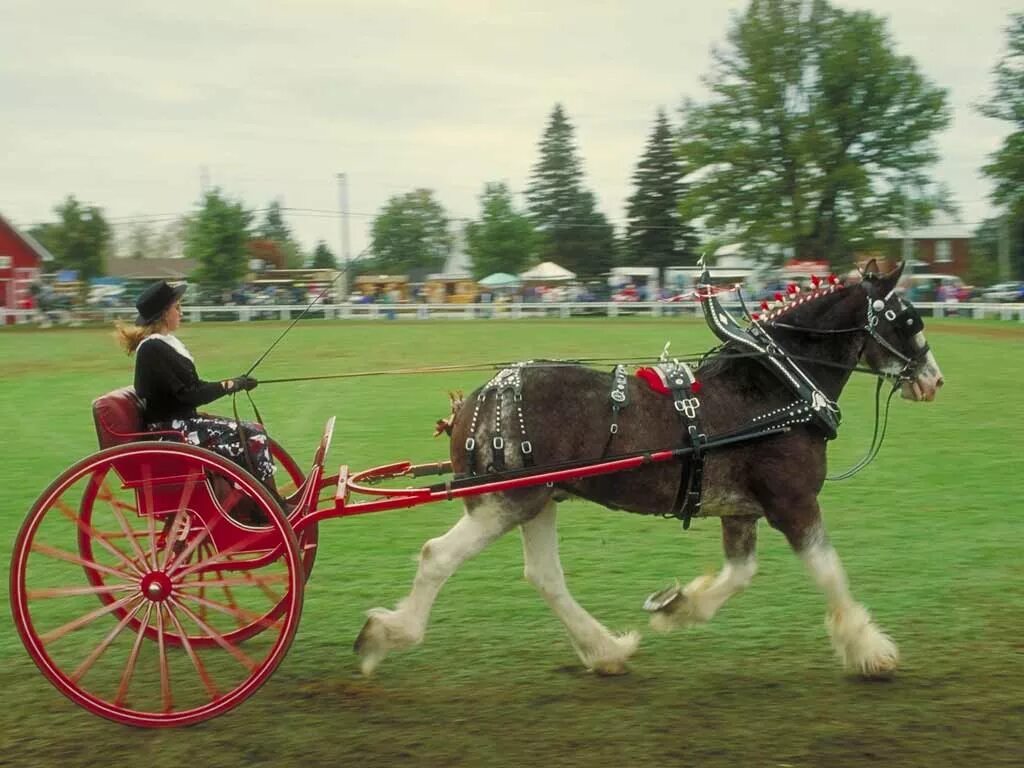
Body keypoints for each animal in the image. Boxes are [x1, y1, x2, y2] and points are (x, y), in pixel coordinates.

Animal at [354, 264, 942, 679]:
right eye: (908, 320)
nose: (934, 380)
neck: (777, 386)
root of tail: (477, 401)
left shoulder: (741, 511)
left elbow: (740, 573)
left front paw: (677, 606)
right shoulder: (793, 503)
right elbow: (830, 572)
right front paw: (870, 651)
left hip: (537, 499)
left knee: (544, 576)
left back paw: (605, 650)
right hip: (506, 501)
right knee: (437, 557)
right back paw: (386, 635)